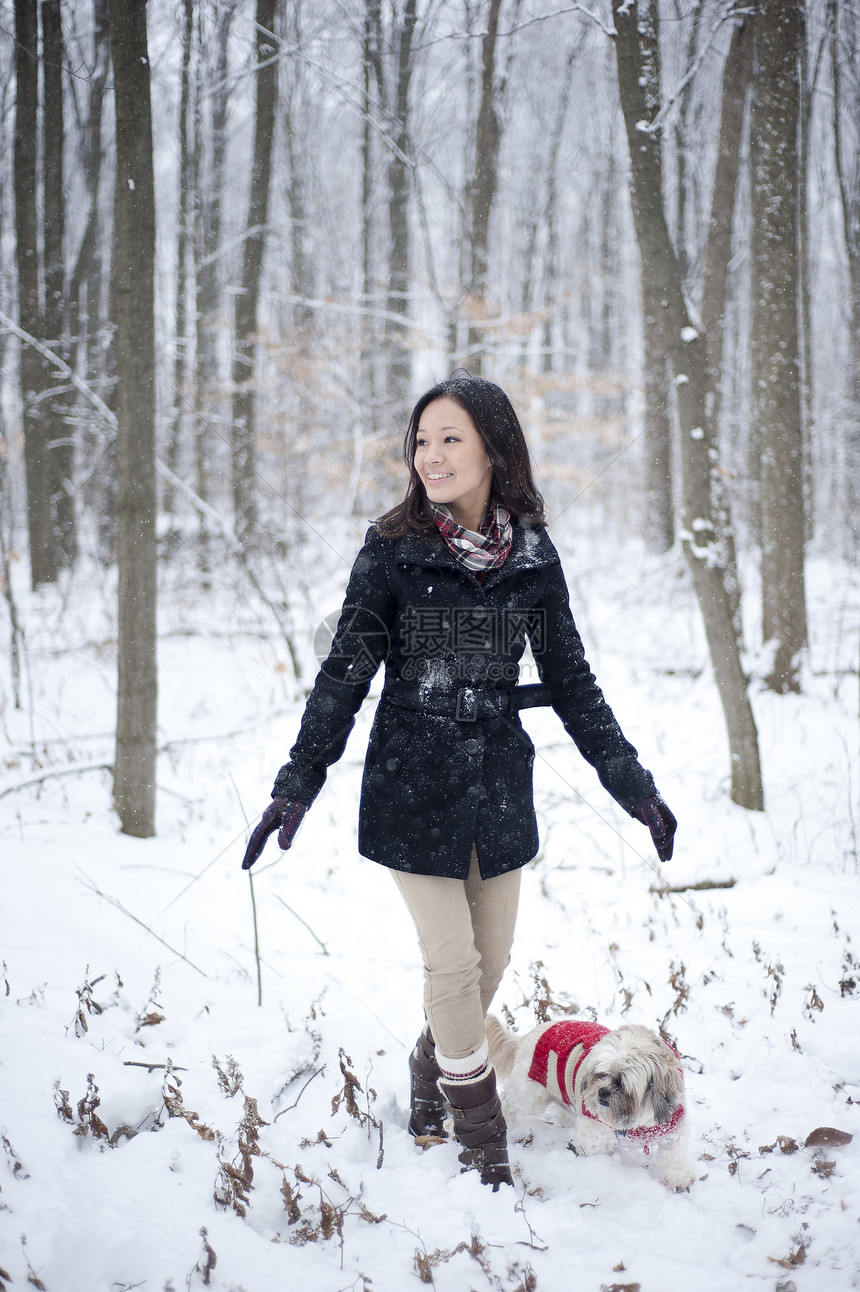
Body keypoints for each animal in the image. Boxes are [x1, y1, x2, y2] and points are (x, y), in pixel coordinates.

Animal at [485, 1018, 692, 1188]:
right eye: (600, 1074)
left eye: (621, 1082)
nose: (602, 1091)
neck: (638, 1121)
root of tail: (534, 1032)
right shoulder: (595, 1134)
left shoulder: (672, 1129)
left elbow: (674, 1156)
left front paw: (678, 1179)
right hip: (531, 1094)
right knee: (509, 1101)